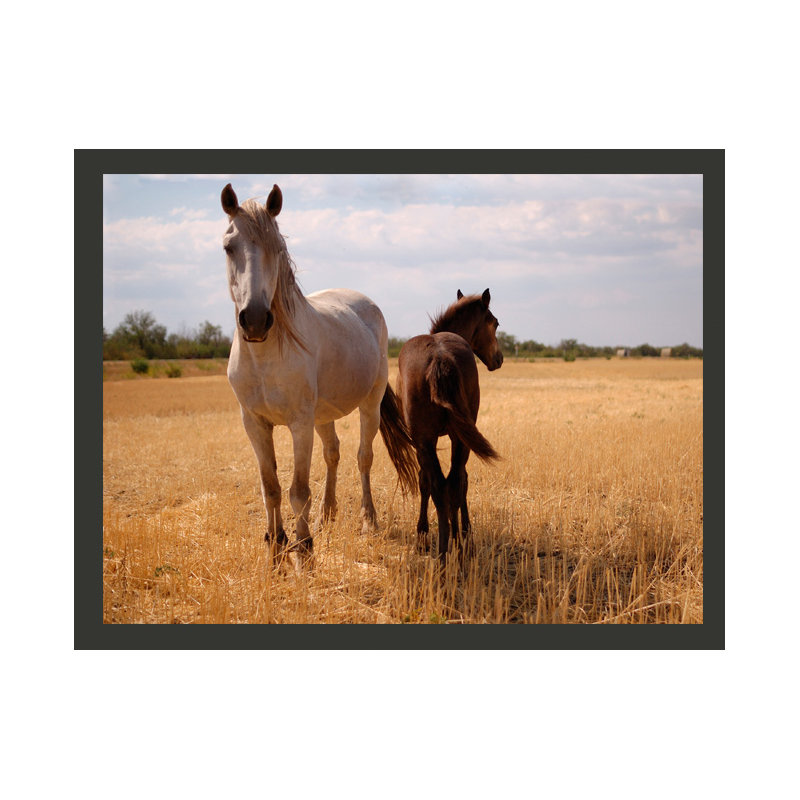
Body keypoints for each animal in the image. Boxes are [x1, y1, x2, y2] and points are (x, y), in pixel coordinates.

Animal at [221, 182, 417, 565]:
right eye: (228, 247)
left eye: (278, 248)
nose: (255, 320)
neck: (266, 357)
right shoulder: (254, 423)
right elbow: (271, 487)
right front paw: (275, 542)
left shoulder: (299, 423)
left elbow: (297, 490)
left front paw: (304, 547)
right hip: (323, 415)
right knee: (333, 454)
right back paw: (327, 515)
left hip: (368, 405)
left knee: (363, 457)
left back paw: (368, 520)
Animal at [397, 289, 504, 563]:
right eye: (495, 322)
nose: (499, 358)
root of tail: (439, 357)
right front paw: (462, 532)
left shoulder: (425, 442)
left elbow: (428, 482)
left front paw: (425, 534)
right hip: (451, 439)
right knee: (451, 484)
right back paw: (453, 547)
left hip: (432, 441)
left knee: (443, 485)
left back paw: (447, 550)